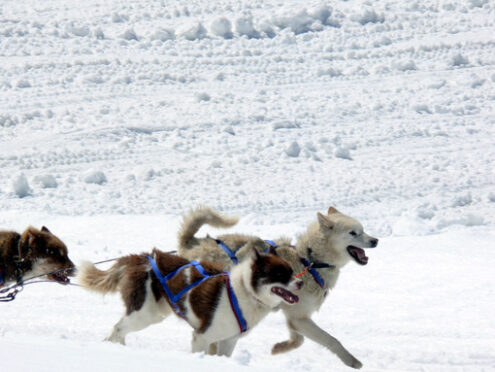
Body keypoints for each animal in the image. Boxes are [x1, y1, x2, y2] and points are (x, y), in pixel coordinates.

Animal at [78, 247, 302, 354]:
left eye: (291, 271)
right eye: (280, 274)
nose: (300, 283)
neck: (244, 292)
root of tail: (139, 258)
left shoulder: (227, 340)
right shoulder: (201, 337)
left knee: (121, 329)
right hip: (145, 314)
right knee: (117, 328)